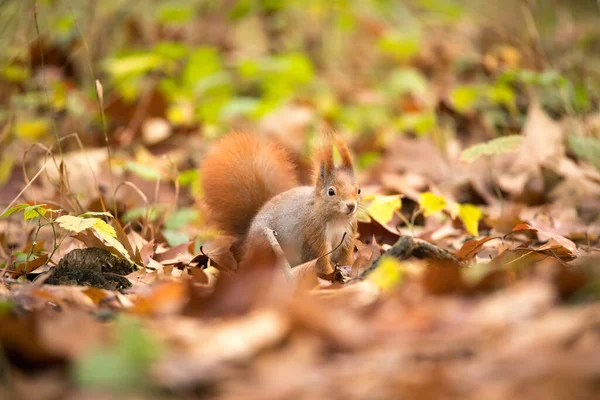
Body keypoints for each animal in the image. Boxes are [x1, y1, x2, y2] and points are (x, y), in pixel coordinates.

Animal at [202, 133, 360, 276]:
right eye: (331, 192)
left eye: (358, 190)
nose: (351, 206)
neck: (337, 220)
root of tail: (247, 241)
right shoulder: (314, 235)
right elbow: (321, 261)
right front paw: (330, 275)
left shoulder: (349, 236)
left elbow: (346, 257)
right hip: (265, 246)